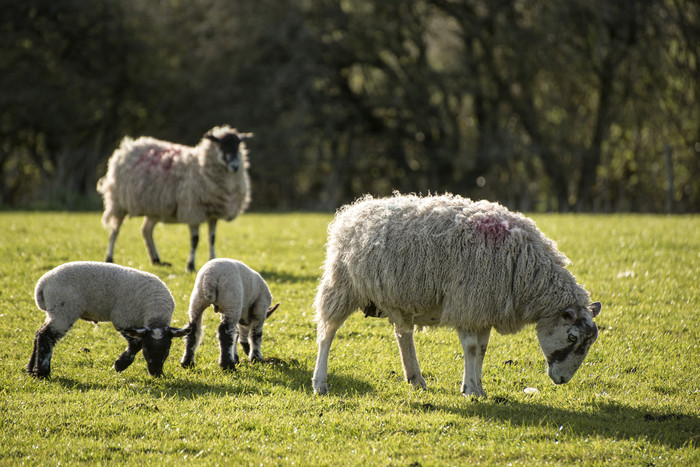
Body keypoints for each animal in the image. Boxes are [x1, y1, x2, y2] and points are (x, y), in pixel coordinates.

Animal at [29, 262, 190, 378]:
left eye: (167, 349)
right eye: (147, 349)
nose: (156, 373)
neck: (155, 311)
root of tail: (42, 284)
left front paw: (120, 364)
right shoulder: (122, 319)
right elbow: (136, 344)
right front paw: (119, 365)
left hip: (56, 312)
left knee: (39, 333)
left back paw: (31, 370)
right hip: (64, 310)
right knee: (46, 336)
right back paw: (42, 373)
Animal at [97, 126, 253, 274]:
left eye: (238, 145)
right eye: (222, 145)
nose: (236, 166)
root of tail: (127, 147)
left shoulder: (213, 213)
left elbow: (212, 238)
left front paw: (213, 260)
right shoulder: (192, 210)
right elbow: (195, 240)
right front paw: (190, 266)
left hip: (154, 207)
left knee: (146, 230)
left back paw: (157, 260)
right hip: (118, 202)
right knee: (115, 230)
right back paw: (109, 258)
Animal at [312, 194, 600, 398]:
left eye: (589, 343)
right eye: (572, 337)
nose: (562, 380)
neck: (524, 268)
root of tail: (356, 208)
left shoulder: (483, 309)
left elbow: (482, 349)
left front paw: (478, 389)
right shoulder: (467, 304)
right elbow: (471, 348)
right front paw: (471, 390)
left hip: (398, 298)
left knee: (403, 334)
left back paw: (416, 379)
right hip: (342, 285)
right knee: (327, 332)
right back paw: (320, 382)